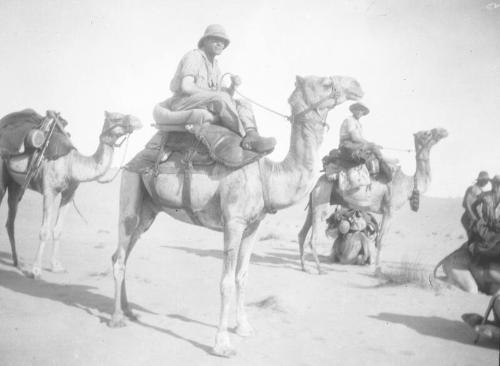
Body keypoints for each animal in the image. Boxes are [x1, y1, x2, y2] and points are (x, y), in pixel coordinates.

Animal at [0, 110, 143, 276]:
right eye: (116, 117)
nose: (137, 120)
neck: (71, 164)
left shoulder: (69, 194)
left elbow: (57, 230)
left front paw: (56, 266)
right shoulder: (49, 191)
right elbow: (44, 230)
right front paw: (35, 270)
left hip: (15, 184)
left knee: (10, 221)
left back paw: (17, 262)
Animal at [110, 75, 364, 358]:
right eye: (325, 82)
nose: (356, 85)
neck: (269, 176)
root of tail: (134, 157)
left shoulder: (253, 226)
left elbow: (242, 277)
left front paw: (243, 327)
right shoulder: (233, 222)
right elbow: (227, 282)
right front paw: (222, 344)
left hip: (149, 210)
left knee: (123, 253)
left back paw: (129, 310)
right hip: (130, 188)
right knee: (120, 255)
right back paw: (116, 318)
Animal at [296, 127, 450, 274]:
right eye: (427, 133)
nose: (443, 131)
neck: (409, 183)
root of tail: (318, 181)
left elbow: (379, 239)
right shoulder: (390, 210)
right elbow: (381, 240)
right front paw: (378, 270)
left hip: (314, 202)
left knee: (302, 234)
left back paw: (305, 267)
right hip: (322, 199)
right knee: (312, 238)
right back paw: (320, 269)